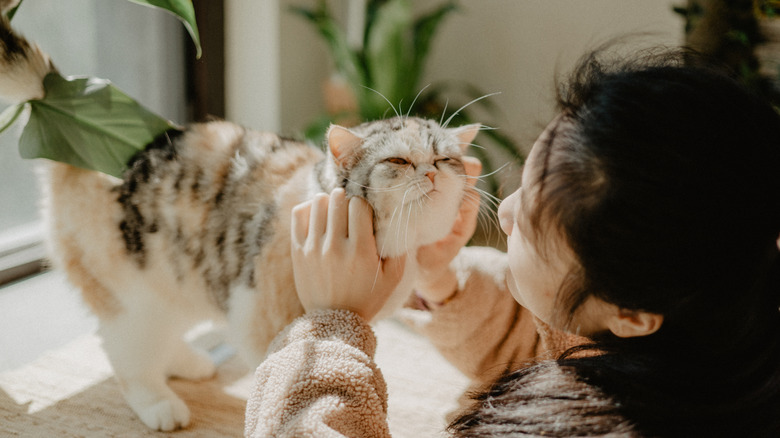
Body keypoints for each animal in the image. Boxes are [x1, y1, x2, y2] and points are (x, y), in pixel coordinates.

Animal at [0, 16, 482, 432]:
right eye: (399, 162)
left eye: (446, 159)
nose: (433, 173)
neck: (399, 250)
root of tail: (64, 119)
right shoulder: (263, 322)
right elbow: (276, 367)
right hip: (134, 292)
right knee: (125, 348)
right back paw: (159, 403)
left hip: (181, 281)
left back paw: (188, 362)